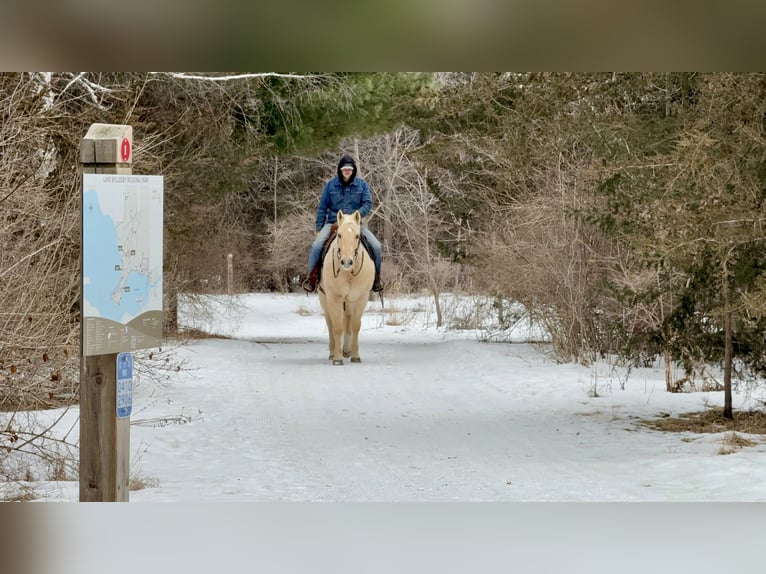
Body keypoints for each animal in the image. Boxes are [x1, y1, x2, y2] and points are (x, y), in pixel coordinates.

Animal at [318, 210, 375, 365]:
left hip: (349, 301)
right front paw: (337, 358)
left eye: (357, 236)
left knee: (348, 320)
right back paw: (333, 352)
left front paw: (355, 355)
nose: (347, 262)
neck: (348, 273)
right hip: (324, 298)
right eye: (339, 235)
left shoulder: (361, 298)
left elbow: (355, 326)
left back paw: (347, 350)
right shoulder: (334, 298)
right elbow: (337, 327)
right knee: (330, 322)